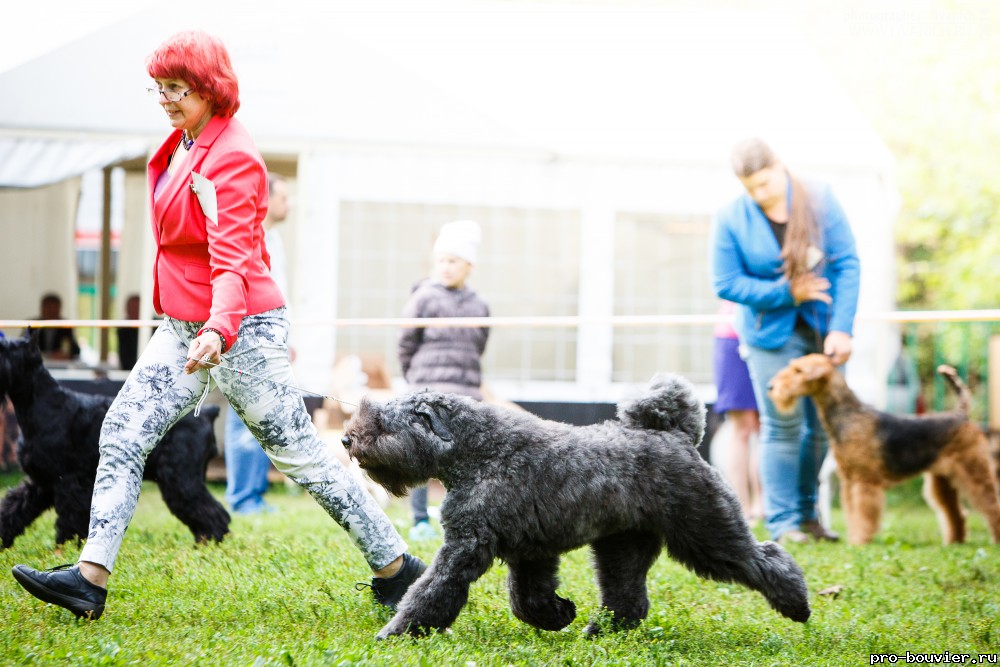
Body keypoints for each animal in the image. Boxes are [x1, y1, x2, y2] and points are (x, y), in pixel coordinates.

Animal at [0, 332, 229, 548]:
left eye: (5, 351)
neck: (39, 404)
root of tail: (208, 413)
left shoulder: (69, 481)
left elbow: (70, 517)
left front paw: (67, 546)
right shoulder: (41, 481)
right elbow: (14, 507)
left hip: (181, 479)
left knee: (213, 512)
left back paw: (209, 543)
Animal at [340, 374, 808, 640]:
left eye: (383, 423)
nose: (347, 439)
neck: (480, 452)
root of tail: (676, 434)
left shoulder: (466, 547)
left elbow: (431, 590)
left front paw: (397, 632)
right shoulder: (530, 552)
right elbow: (526, 598)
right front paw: (559, 615)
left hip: (707, 532)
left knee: (765, 558)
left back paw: (797, 605)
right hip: (622, 549)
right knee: (627, 600)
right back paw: (599, 631)